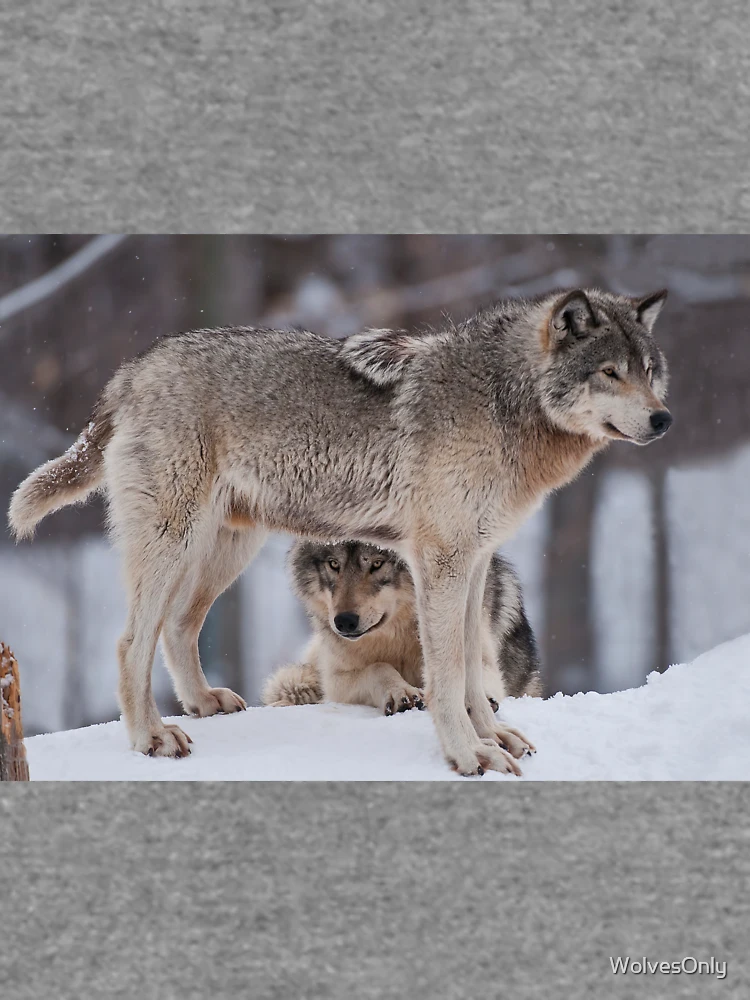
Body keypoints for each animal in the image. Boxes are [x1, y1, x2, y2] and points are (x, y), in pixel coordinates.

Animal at [263, 542, 541, 760]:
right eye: (333, 564)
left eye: (377, 563)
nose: (344, 622)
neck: (397, 636)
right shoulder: (335, 680)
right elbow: (378, 667)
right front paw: (401, 692)